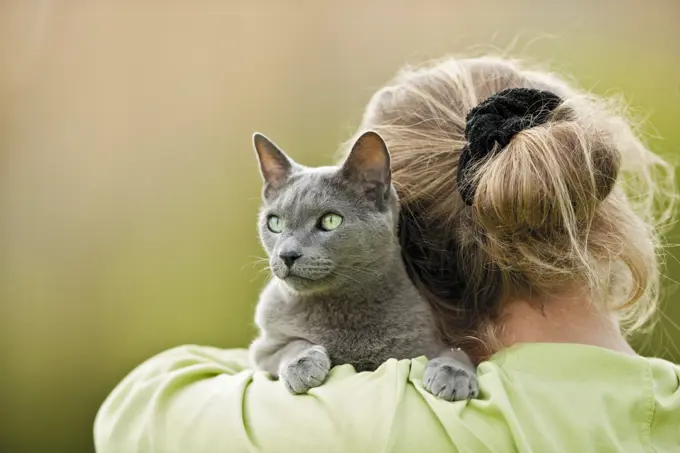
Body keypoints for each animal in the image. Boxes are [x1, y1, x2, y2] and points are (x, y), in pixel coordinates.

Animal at [247, 130, 476, 400]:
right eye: (275, 223)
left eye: (330, 220)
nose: (287, 254)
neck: (343, 310)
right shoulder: (261, 349)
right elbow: (290, 344)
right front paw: (302, 365)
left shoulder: (426, 344)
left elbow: (456, 352)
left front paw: (453, 375)